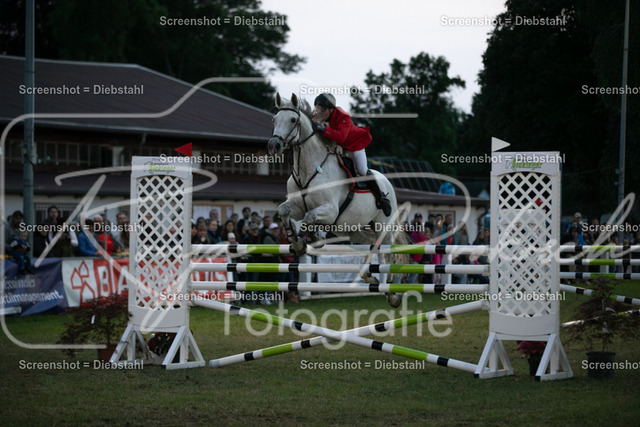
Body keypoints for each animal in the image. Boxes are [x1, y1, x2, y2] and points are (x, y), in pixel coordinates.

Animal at [267, 93, 409, 307]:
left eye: (292, 120)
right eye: (274, 120)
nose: (274, 145)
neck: (309, 168)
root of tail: (387, 181)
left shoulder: (330, 210)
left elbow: (310, 217)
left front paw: (314, 239)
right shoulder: (297, 207)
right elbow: (284, 210)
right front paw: (297, 242)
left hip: (383, 226)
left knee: (385, 253)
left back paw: (391, 293)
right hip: (353, 230)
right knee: (371, 244)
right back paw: (369, 277)